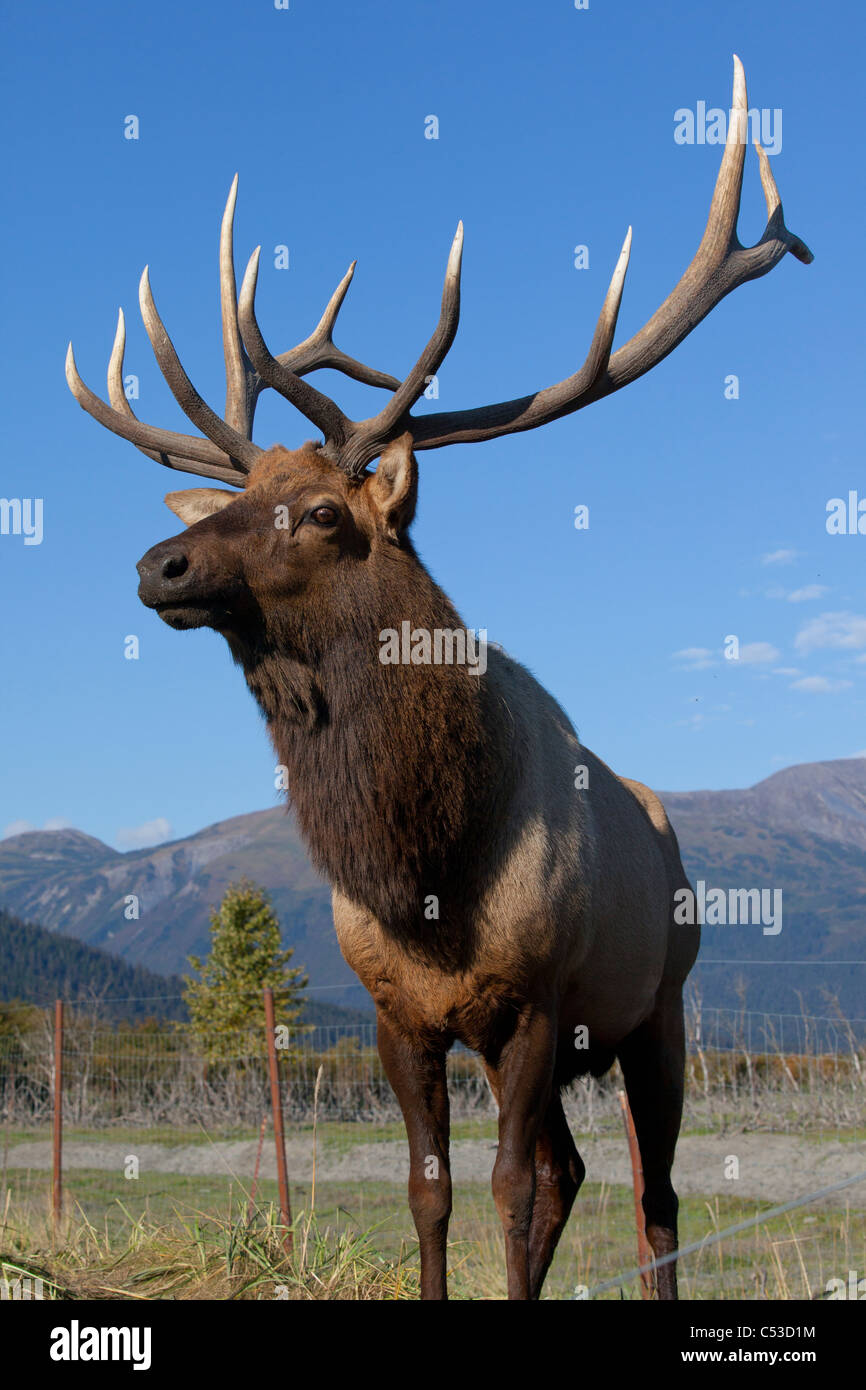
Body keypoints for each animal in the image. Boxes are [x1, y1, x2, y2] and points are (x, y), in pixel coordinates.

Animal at [67, 59, 811, 1295]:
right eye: (238, 495)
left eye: (325, 512)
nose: (155, 563)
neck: (424, 873)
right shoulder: (397, 1017)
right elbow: (432, 1191)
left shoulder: (536, 998)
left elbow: (508, 1189)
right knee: (571, 1170)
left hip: (658, 1008)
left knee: (650, 1194)